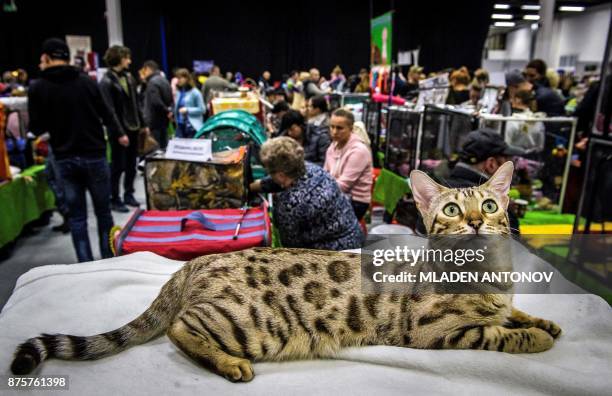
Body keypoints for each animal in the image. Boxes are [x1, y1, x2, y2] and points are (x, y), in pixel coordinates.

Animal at [13, 160, 560, 380]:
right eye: (449, 210)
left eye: (489, 205)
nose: (476, 221)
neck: (489, 273)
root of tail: (197, 263)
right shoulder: (436, 330)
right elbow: (496, 333)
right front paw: (537, 337)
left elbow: (513, 314)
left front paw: (544, 321)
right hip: (253, 324)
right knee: (179, 328)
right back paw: (229, 365)